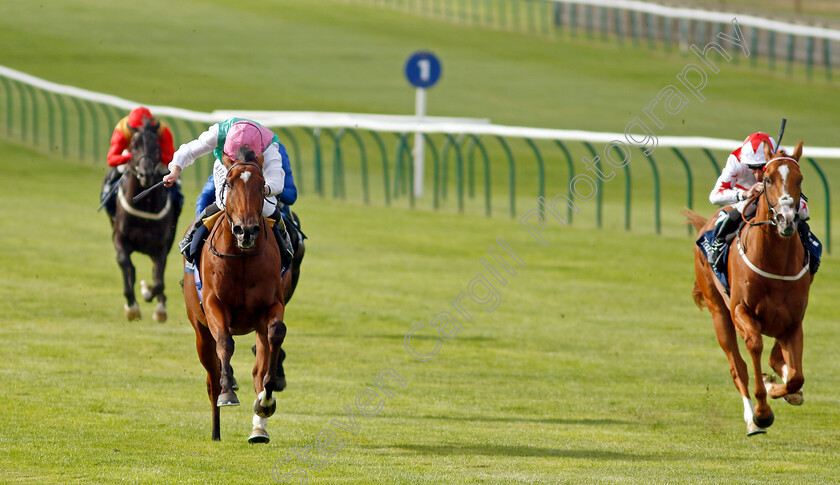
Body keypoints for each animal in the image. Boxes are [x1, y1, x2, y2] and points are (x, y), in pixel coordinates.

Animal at [112, 118, 181, 322]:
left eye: (156, 147)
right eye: (133, 146)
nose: (146, 174)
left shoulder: (161, 247)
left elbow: (158, 281)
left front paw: (154, 300)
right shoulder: (119, 237)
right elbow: (126, 265)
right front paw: (132, 306)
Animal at [183, 151, 288, 442]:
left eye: (263, 185)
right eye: (228, 184)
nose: (247, 230)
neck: (242, 258)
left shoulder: (271, 306)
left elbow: (276, 333)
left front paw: (266, 399)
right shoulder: (213, 305)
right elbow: (225, 344)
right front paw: (228, 391)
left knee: (258, 369)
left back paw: (259, 428)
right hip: (199, 331)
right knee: (211, 377)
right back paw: (216, 430)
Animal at [688, 140, 812, 434]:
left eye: (800, 179)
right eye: (767, 179)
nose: (786, 219)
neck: (775, 265)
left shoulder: (793, 320)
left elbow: (796, 376)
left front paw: (782, 387)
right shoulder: (741, 311)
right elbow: (754, 347)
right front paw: (762, 411)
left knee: (777, 361)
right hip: (719, 313)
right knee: (738, 367)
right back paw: (751, 421)